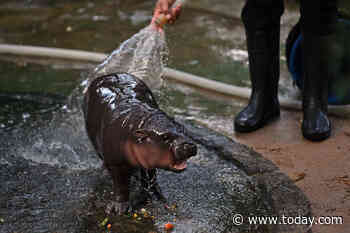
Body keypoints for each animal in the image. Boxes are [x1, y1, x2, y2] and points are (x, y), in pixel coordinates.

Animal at [82, 73, 197, 215]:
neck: (140, 124)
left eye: (183, 128)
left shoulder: (148, 159)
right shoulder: (116, 163)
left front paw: (156, 195)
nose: (190, 145)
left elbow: (151, 175)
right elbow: (121, 186)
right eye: (165, 137)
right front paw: (120, 209)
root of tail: (108, 75)